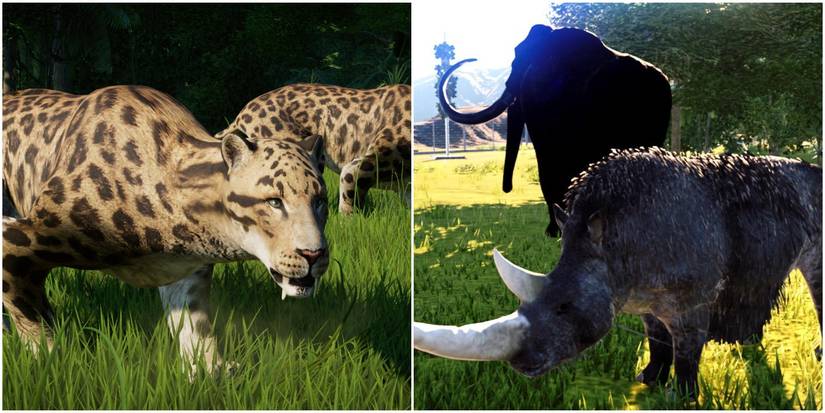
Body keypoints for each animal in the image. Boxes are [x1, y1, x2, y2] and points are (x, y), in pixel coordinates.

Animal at [414, 147, 822, 398]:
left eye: (565, 306)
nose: (521, 365)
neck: (614, 246)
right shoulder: (643, 296)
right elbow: (657, 338)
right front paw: (647, 380)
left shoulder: (693, 298)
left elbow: (687, 349)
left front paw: (682, 397)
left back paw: (816, 353)